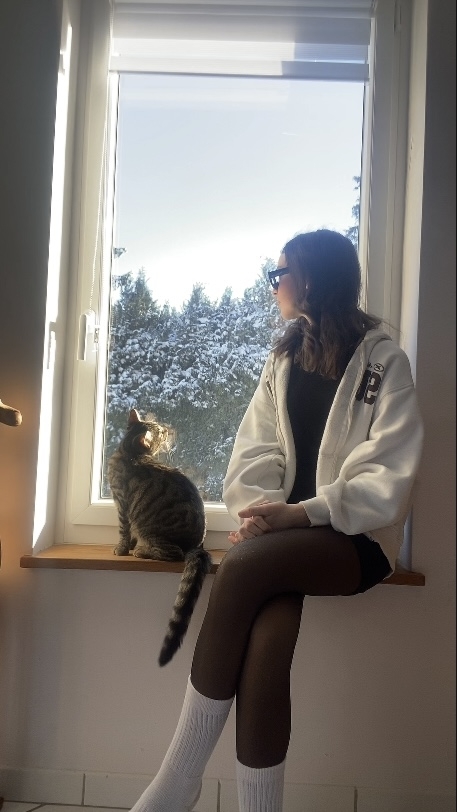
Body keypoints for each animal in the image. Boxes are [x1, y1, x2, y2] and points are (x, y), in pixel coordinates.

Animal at [108, 408, 212, 666]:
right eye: (161, 431)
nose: (169, 430)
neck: (128, 452)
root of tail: (198, 546)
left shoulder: (122, 504)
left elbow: (124, 530)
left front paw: (122, 548)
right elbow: (127, 532)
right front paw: (126, 545)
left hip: (152, 531)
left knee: (172, 553)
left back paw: (141, 551)